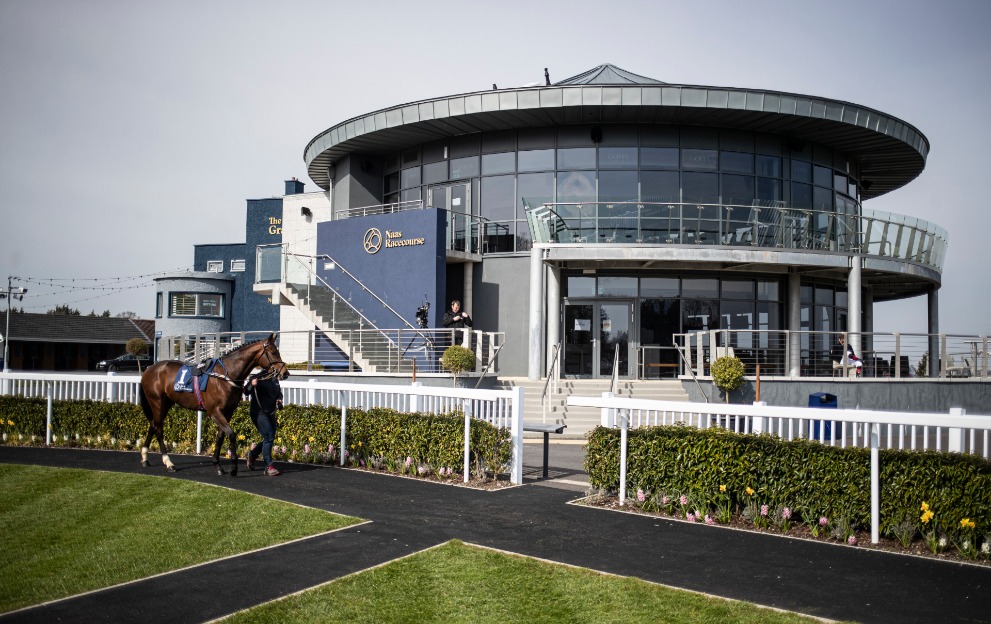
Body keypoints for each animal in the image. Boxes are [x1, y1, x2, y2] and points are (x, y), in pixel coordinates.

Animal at [138, 333, 289, 476]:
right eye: (273, 352)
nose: (285, 373)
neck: (226, 376)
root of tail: (149, 369)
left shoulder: (228, 412)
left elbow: (220, 437)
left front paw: (218, 465)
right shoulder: (214, 412)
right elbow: (231, 434)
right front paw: (233, 468)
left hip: (166, 403)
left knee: (153, 425)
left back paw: (145, 458)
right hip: (157, 401)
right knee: (158, 429)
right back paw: (168, 463)